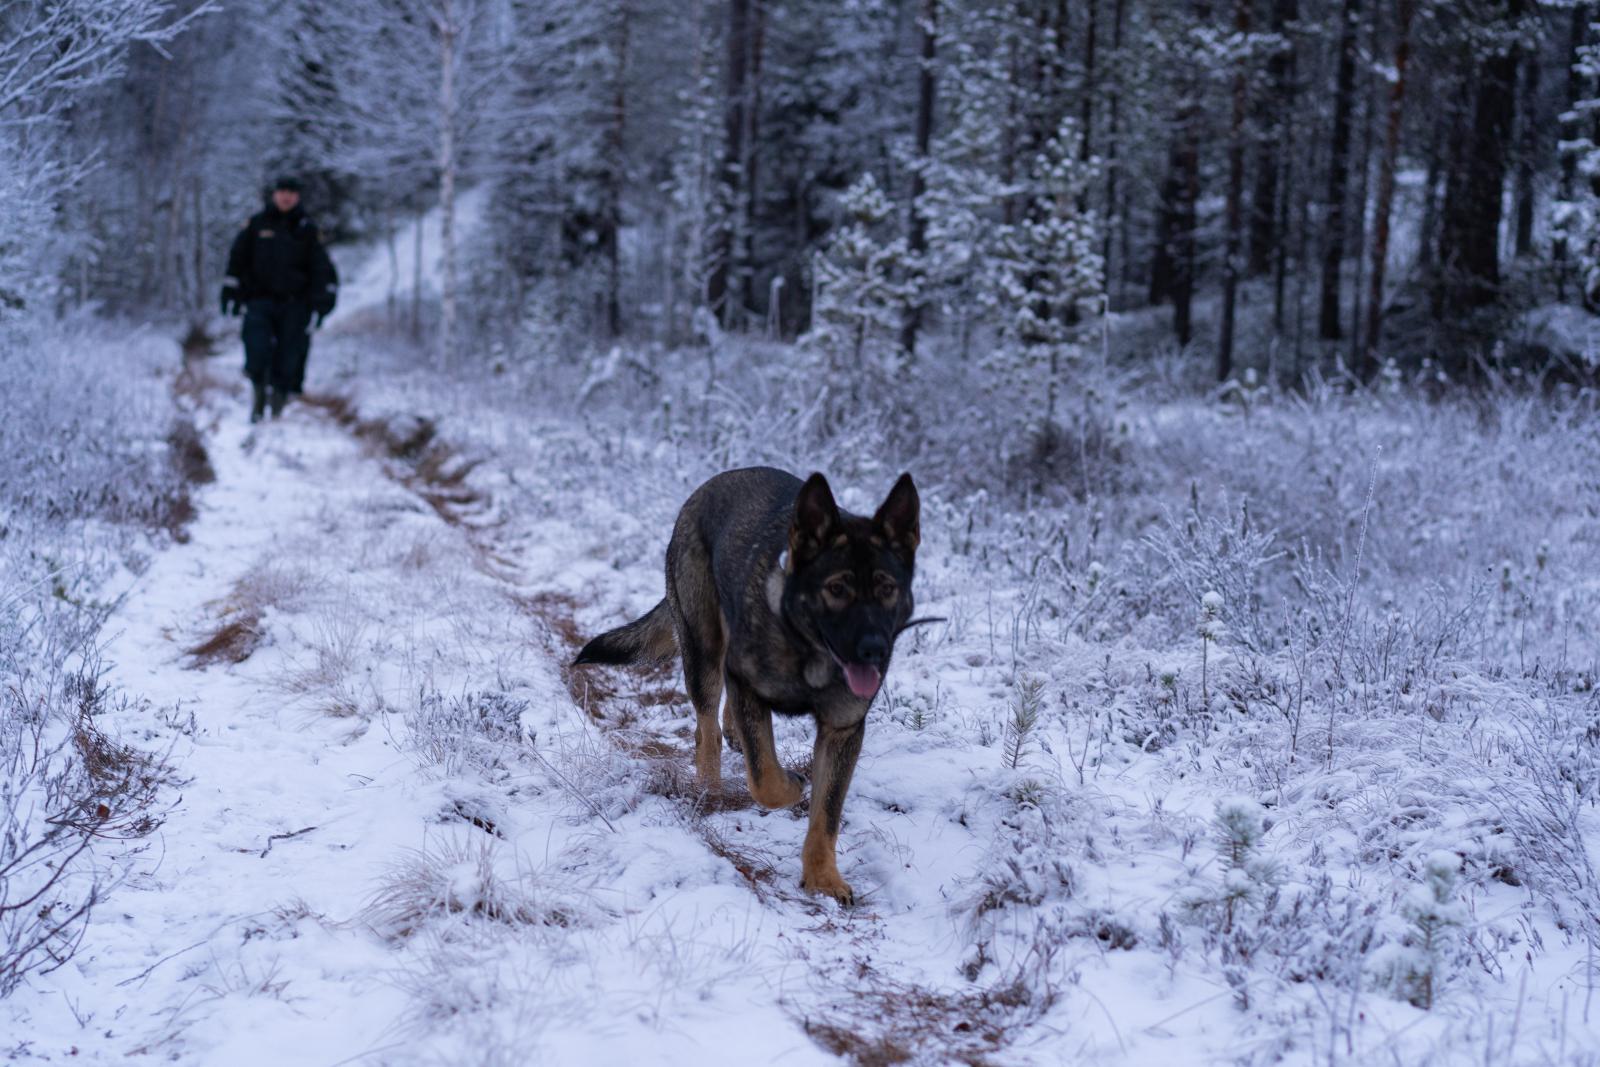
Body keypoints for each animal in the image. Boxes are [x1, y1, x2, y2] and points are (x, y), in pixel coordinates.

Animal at [579, 467, 928, 902]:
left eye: (887, 589)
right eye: (836, 588)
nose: (874, 651)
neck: (806, 647)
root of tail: (713, 483)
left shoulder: (842, 730)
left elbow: (827, 813)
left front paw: (823, 878)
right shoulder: (746, 686)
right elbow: (766, 780)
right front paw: (793, 784)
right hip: (703, 653)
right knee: (707, 728)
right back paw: (710, 789)